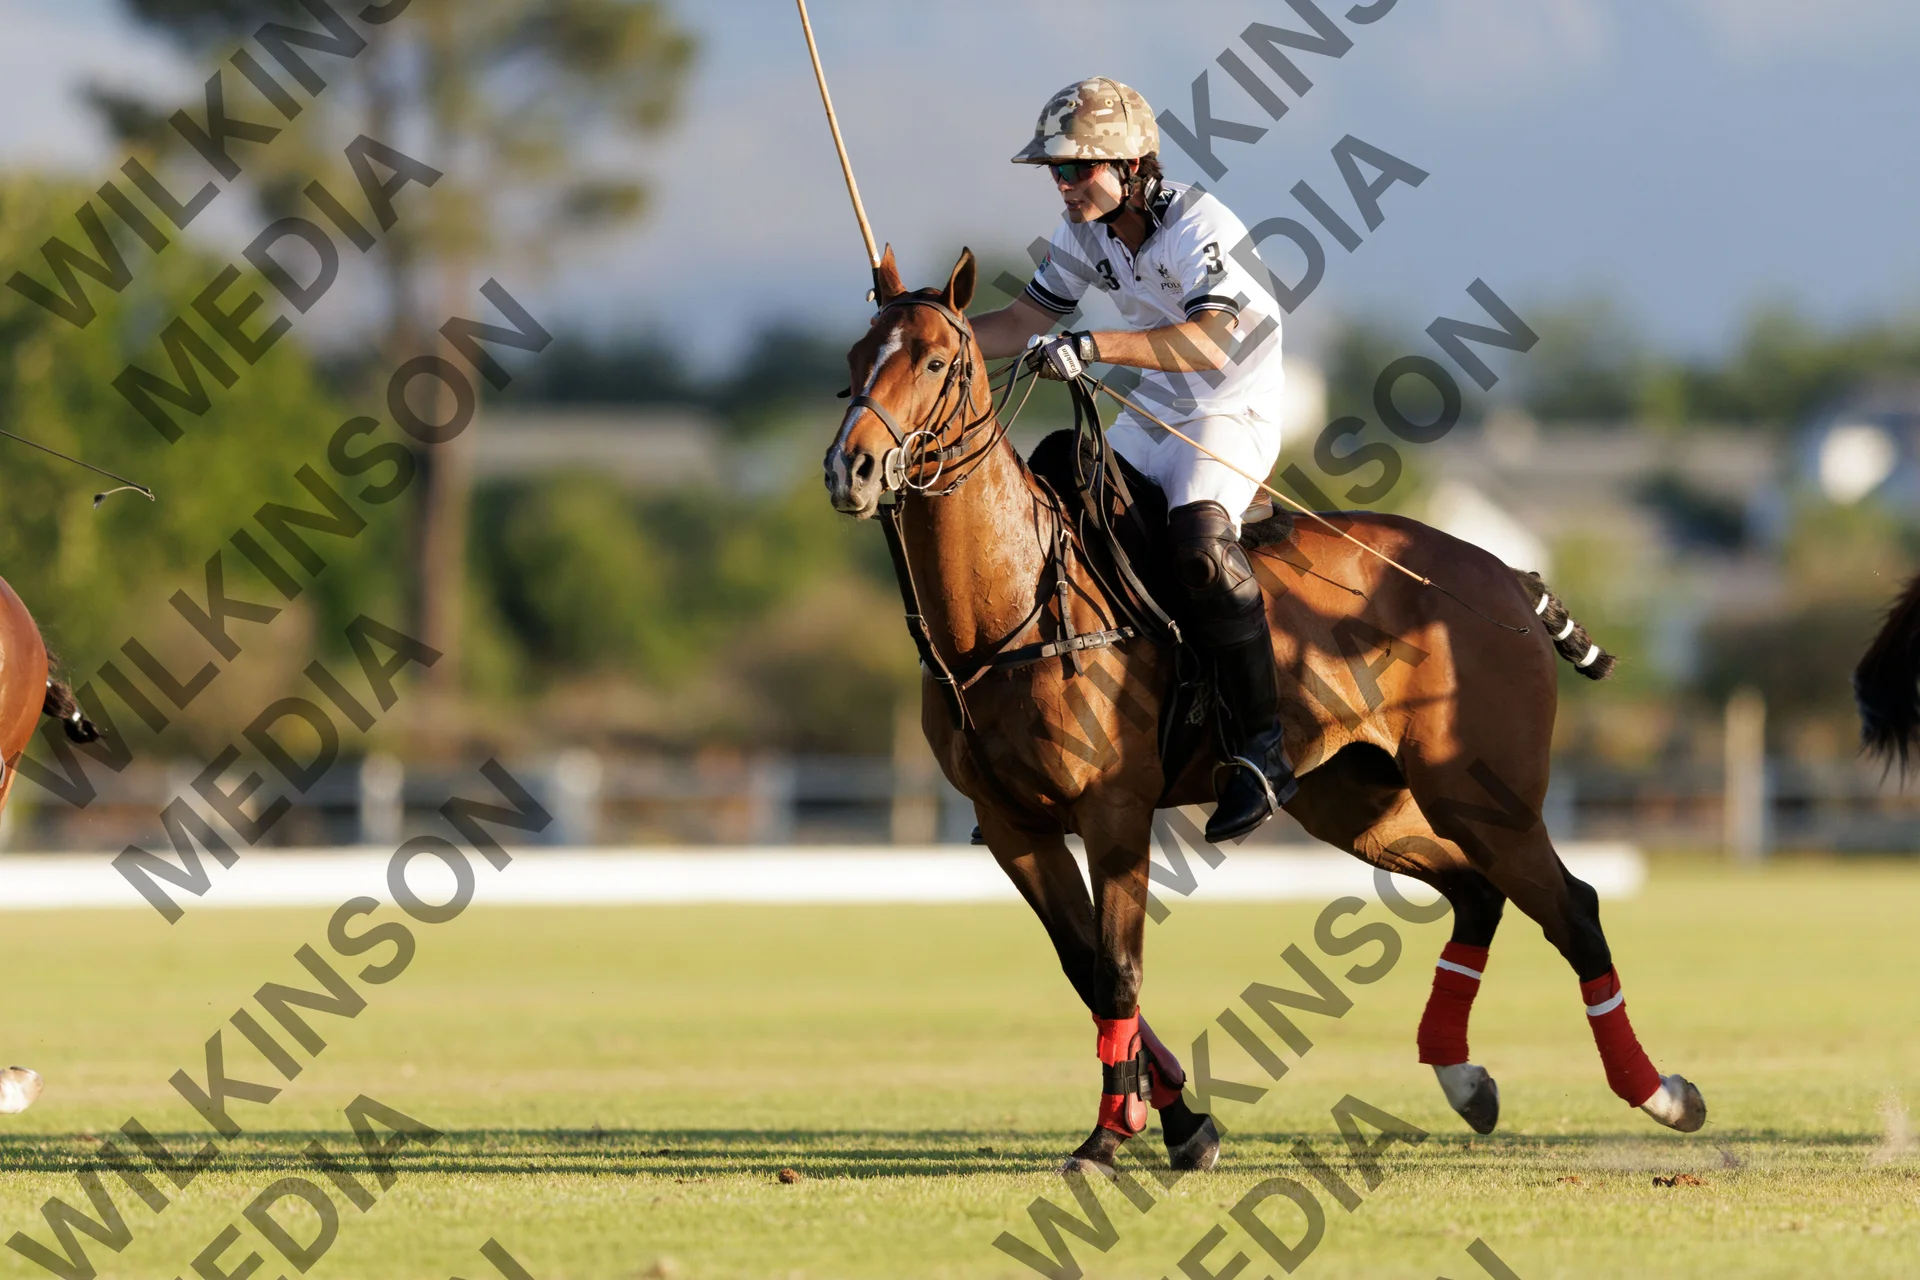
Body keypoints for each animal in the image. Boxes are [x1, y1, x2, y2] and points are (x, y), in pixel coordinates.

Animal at [824, 245, 1706, 1172]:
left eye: (934, 361)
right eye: (855, 357)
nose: (849, 470)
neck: (1010, 607)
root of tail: (1508, 575)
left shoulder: (1113, 807)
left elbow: (1117, 968)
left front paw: (1111, 1135)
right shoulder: (1009, 824)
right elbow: (1083, 967)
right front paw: (1180, 1122)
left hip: (1481, 791)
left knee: (1573, 907)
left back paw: (1661, 1093)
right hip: (1356, 801)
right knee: (1476, 892)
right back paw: (1464, 1080)